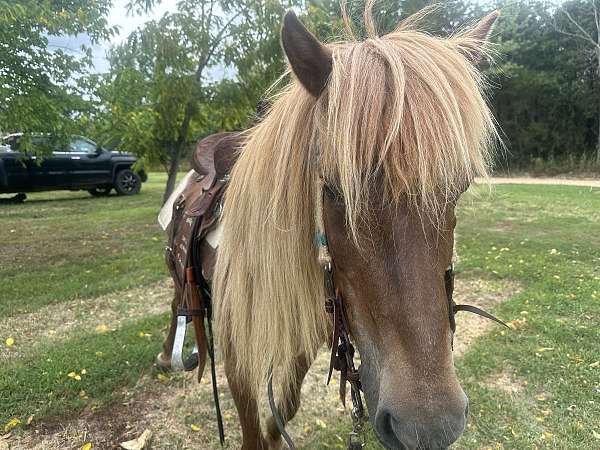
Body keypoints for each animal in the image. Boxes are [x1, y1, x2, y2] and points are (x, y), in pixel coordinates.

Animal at [158, 4, 496, 450]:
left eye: (459, 187)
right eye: (333, 189)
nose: (428, 426)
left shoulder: (307, 341)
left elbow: (283, 411)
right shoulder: (239, 359)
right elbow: (254, 429)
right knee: (177, 303)